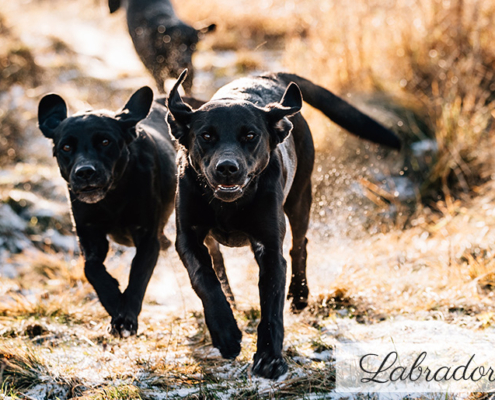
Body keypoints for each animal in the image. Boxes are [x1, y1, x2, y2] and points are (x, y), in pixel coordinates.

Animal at [169, 70, 402, 380]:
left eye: (250, 136)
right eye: (206, 136)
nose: (227, 167)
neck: (228, 206)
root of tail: (268, 75)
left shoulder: (268, 247)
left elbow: (271, 306)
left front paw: (269, 359)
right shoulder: (188, 237)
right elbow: (204, 279)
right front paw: (226, 333)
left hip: (300, 196)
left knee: (299, 245)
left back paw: (300, 295)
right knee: (218, 263)